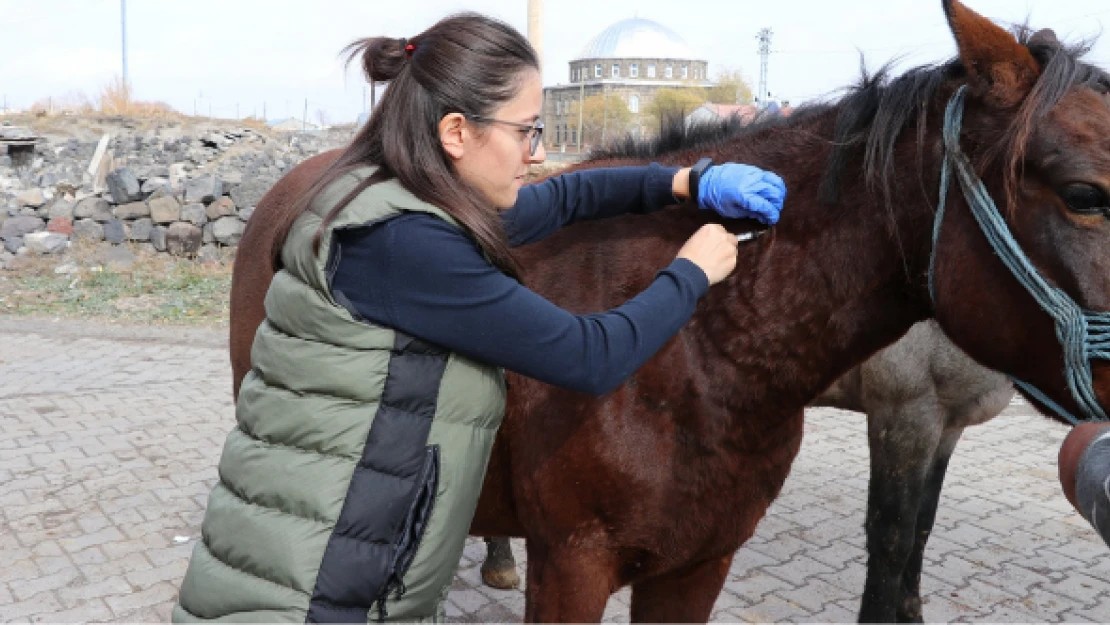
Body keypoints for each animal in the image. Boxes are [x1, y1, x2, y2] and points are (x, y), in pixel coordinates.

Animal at [227, 2, 1110, 621]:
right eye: (1083, 193)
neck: (701, 359)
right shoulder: (575, 564)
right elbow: (892, 537)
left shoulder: (702, 562)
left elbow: (915, 531)